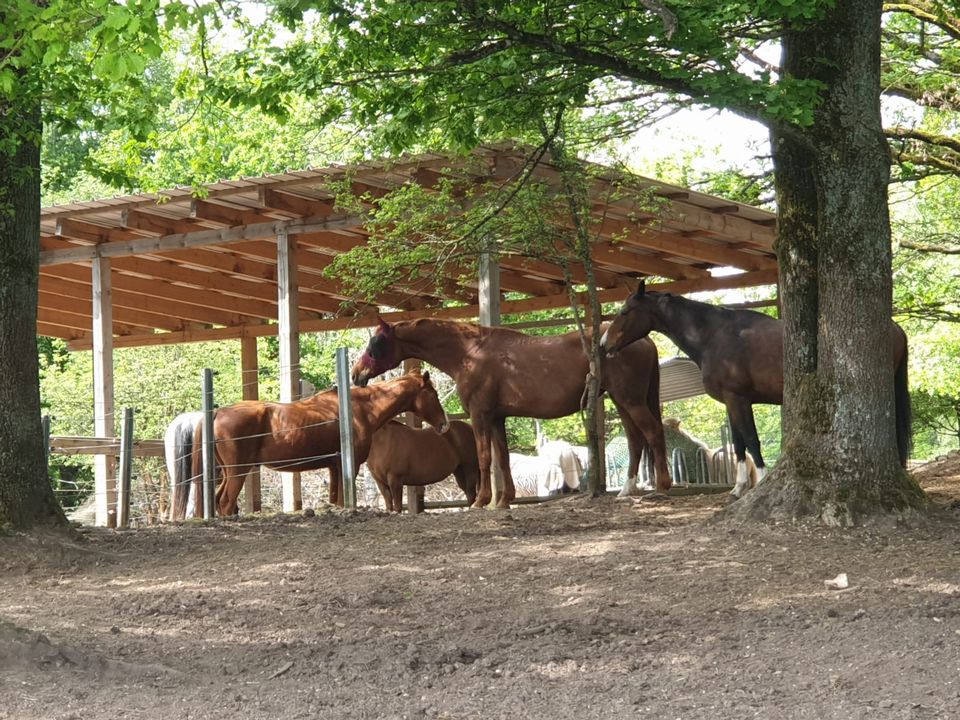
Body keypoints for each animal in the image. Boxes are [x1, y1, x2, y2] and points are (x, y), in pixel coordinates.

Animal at [196, 368, 454, 516]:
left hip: (227, 472)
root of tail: (217, 412)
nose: (444, 424)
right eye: (433, 394)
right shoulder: (348, 465)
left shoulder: (334, 467)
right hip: (237, 471)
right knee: (226, 502)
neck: (357, 410)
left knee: (220, 501)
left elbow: (335, 500)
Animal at [348, 318, 672, 510]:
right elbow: (501, 459)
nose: (356, 374)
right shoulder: (496, 418)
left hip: (630, 400)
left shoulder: (480, 415)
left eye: (376, 344)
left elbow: (484, 458)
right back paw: (627, 489)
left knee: (653, 434)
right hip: (623, 401)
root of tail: (643, 339)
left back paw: (662, 487)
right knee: (635, 440)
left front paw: (482, 501)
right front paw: (504, 500)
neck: (469, 353)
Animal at [596, 284, 912, 498]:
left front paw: (760, 481)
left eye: (624, 312)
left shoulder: (739, 399)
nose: (603, 344)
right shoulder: (731, 401)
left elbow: (751, 439)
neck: (714, 335)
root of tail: (895, 328)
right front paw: (737, 489)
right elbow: (738, 444)